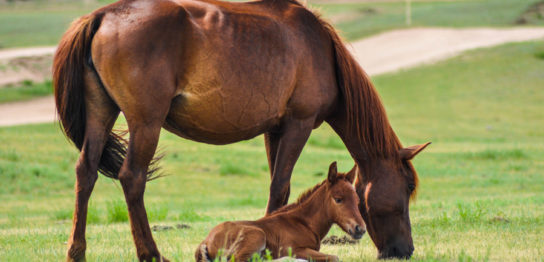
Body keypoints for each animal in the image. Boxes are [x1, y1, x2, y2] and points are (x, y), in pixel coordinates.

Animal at [196, 162, 366, 262]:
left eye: (357, 200)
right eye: (338, 199)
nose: (360, 229)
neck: (304, 223)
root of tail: (206, 241)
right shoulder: (294, 249)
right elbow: (334, 257)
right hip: (257, 235)